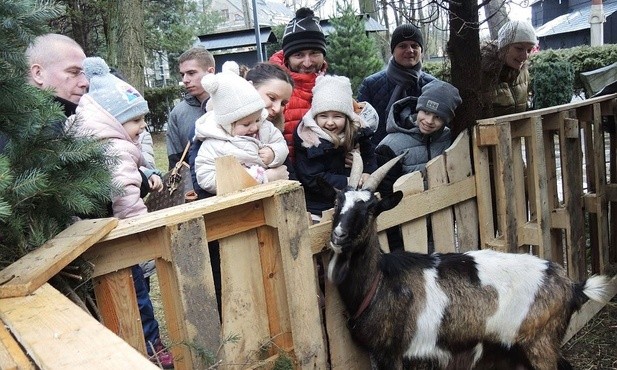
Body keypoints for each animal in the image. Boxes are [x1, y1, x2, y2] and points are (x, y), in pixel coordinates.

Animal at [324, 152, 608, 368]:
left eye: (372, 209)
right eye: (338, 200)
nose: (338, 235)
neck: (380, 281)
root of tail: (572, 286)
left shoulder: (391, 352)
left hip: (541, 343)